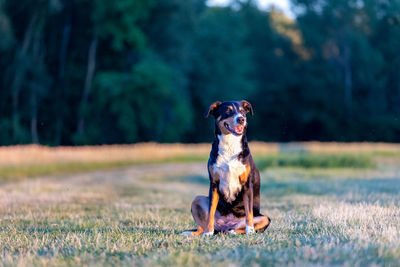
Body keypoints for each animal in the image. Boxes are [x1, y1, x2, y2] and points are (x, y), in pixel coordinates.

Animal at [182, 100, 270, 237]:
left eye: (242, 111)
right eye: (228, 110)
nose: (241, 119)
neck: (230, 144)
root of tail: (225, 226)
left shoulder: (247, 185)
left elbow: (249, 214)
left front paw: (250, 231)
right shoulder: (214, 184)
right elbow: (210, 213)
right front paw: (208, 233)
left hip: (265, 218)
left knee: (242, 225)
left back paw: (235, 231)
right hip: (197, 199)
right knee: (202, 226)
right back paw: (196, 233)